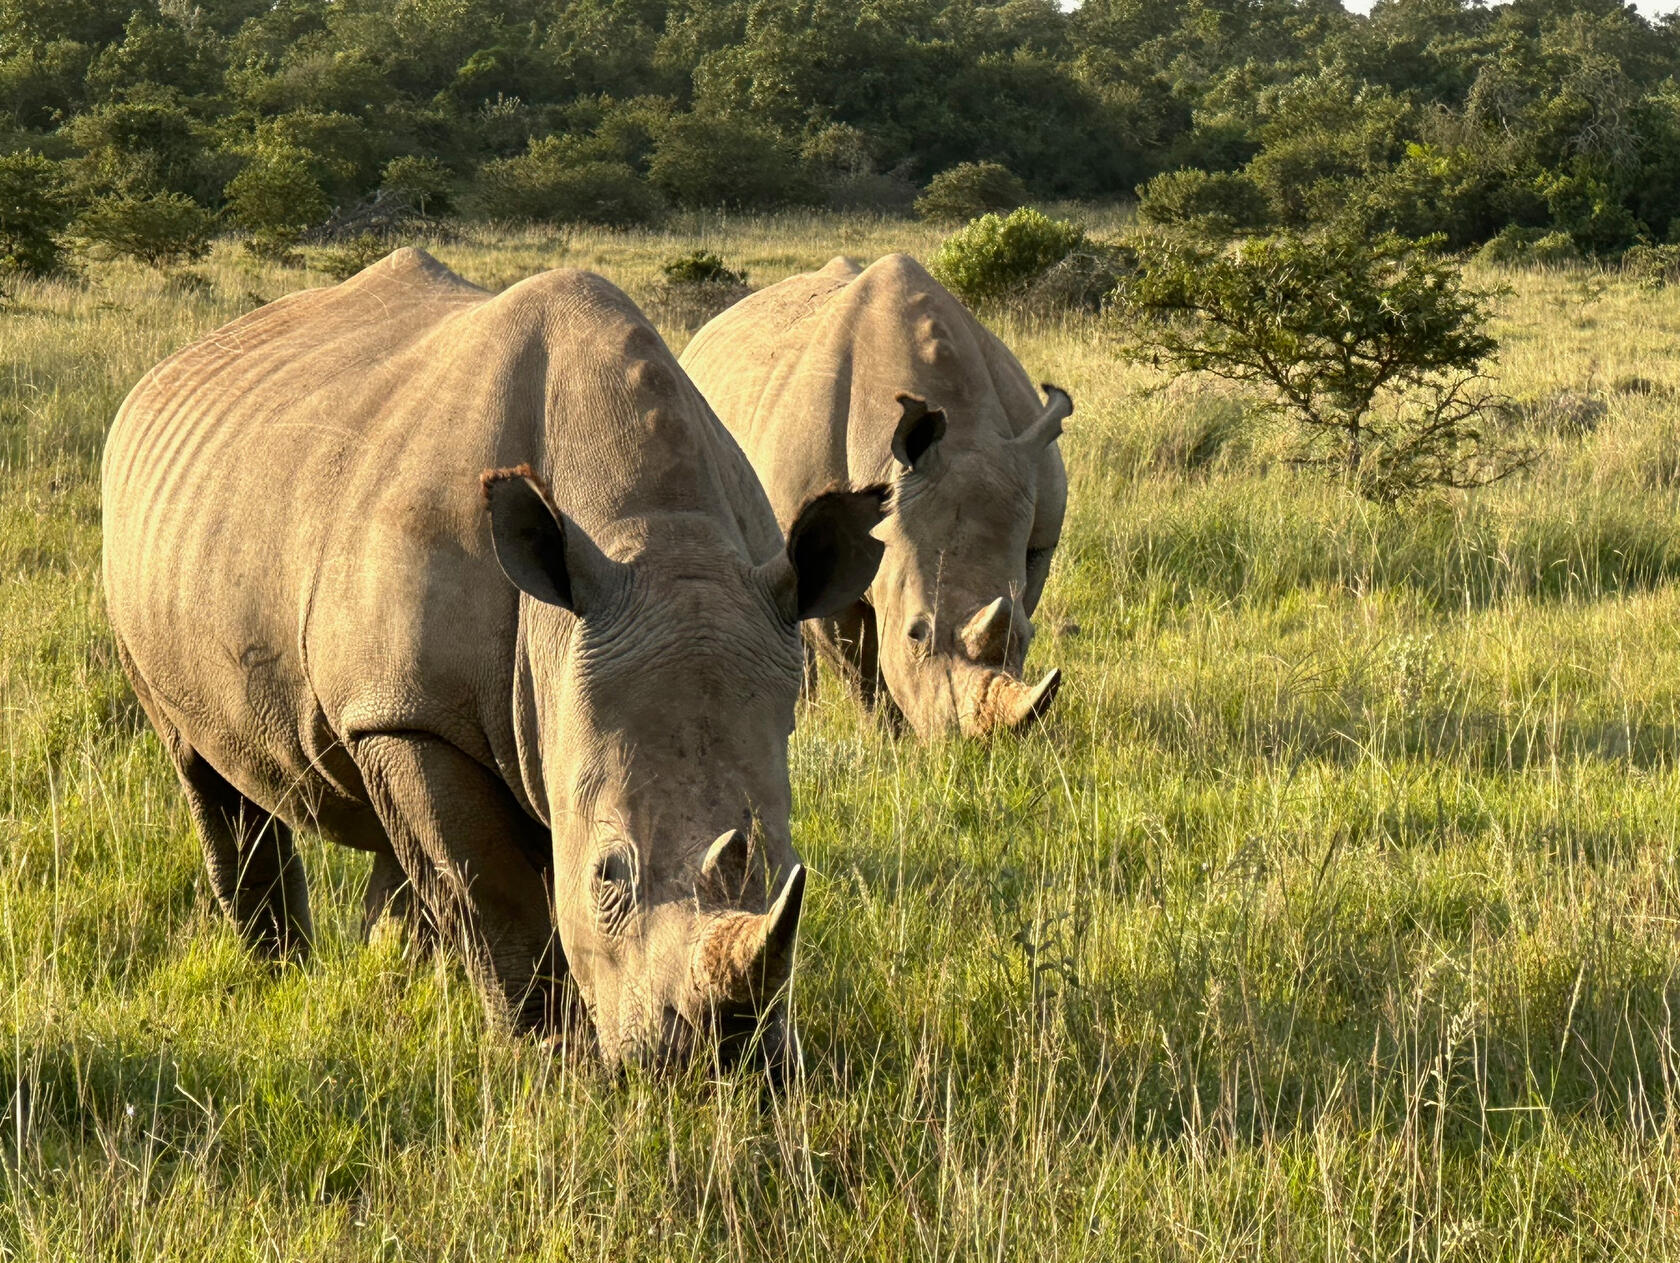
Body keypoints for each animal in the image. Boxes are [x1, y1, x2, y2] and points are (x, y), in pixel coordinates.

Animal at [101, 248, 887, 1070]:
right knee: (205, 768)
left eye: (785, 863)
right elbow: (489, 885)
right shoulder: (413, 713)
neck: (654, 537)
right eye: (608, 874)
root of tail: (165, 372)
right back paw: (277, 970)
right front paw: (554, 1055)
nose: (720, 1065)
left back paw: (394, 977)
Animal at [680, 253, 1069, 740]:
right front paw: (890, 735)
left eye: (1031, 636)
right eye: (915, 634)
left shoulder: (1039, 541)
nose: (969, 744)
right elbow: (859, 658)